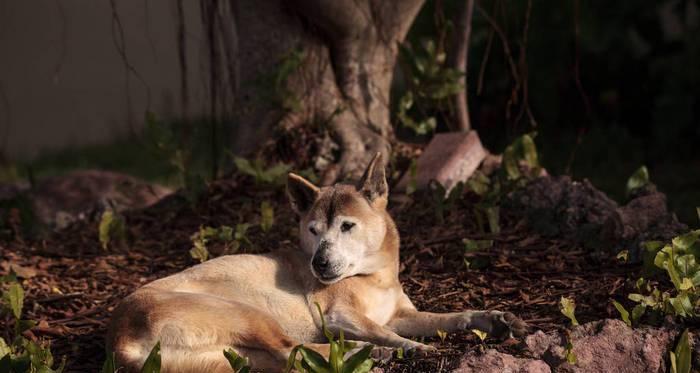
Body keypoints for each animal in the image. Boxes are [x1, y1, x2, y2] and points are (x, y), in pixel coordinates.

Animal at [108, 153, 524, 370]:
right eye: (313, 230)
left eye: (347, 226)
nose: (319, 265)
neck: (373, 276)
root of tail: (120, 338)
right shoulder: (339, 316)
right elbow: (384, 330)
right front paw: (410, 345)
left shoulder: (401, 314)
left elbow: (448, 318)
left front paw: (490, 318)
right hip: (248, 314)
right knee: (294, 347)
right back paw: (382, 353)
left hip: (235, 359)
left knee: (294, 355)